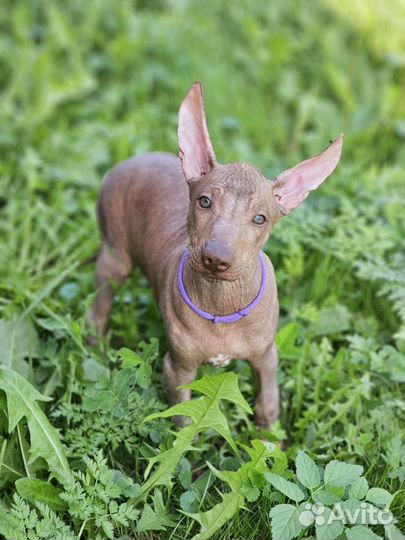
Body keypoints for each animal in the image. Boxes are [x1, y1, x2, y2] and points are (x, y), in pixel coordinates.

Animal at [88, 81, 340, 426]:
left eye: (260, 218)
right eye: (204, 201)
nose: (216, 259)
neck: (222, 301)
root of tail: (132, 159)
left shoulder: (266, 358)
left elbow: (268, 406)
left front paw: (271, 437)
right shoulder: (178, 370)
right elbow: (185, 422)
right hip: (114, 256)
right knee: (99, 306)